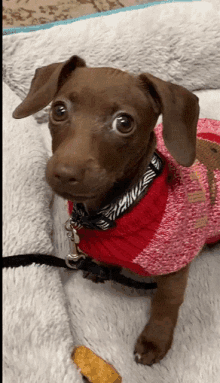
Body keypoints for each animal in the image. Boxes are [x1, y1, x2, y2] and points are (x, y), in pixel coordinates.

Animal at [12, 55, 202, 368]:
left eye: (124, 123)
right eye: (59, 110)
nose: (64, 173)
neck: (115, 210)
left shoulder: (176, 264)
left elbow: (166, 303)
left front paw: (155, 340)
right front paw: (103, 267)